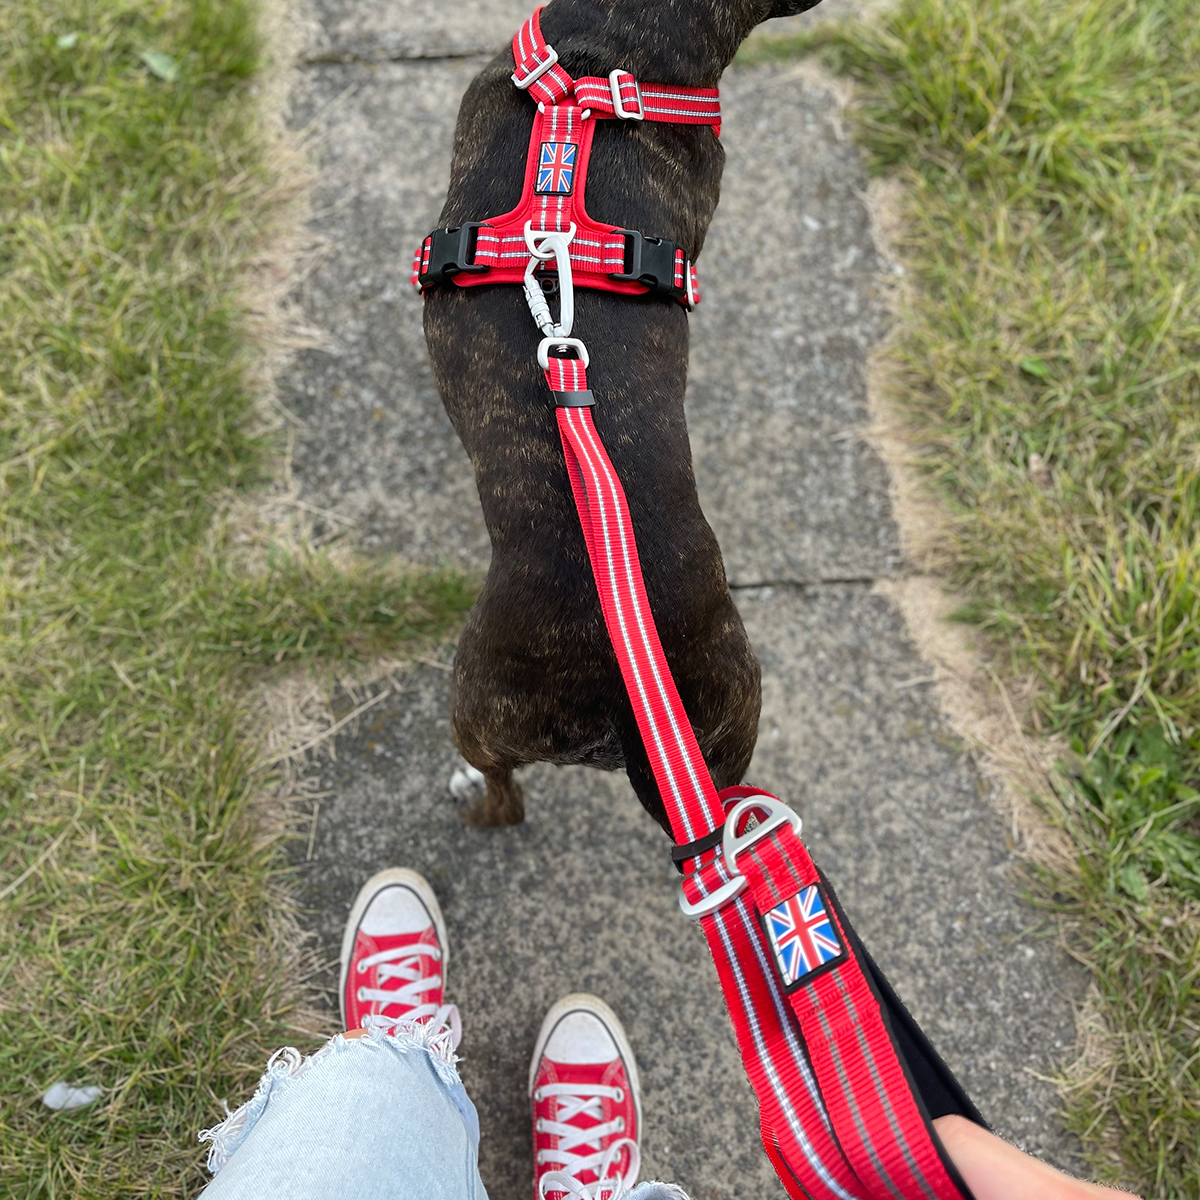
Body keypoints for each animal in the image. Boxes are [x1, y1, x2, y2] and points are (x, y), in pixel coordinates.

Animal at [424, 0, 825, 840]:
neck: (607, 56)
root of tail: (622, 707)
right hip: (728, 723)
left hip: (475, 701)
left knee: (503, 796)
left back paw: (470, 799)